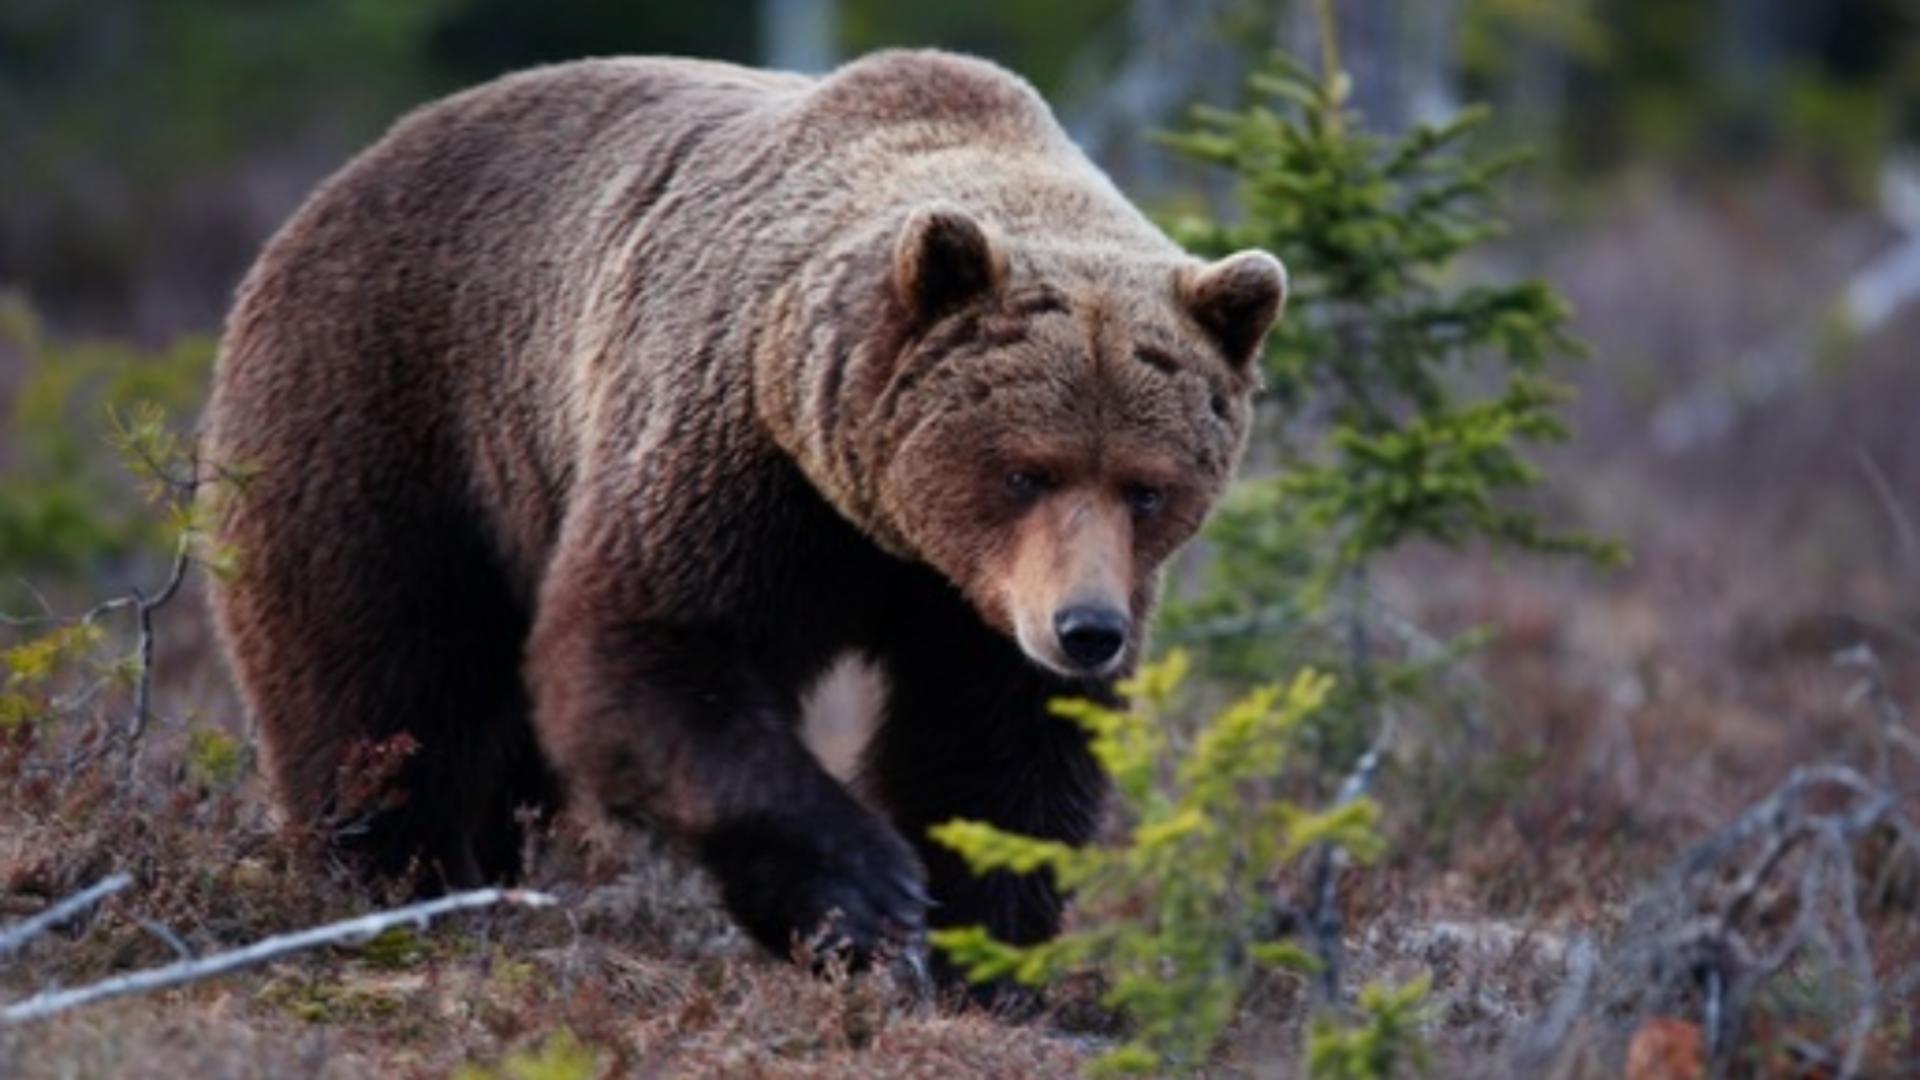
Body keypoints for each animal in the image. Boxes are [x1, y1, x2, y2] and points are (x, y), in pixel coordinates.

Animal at [206, 52, 1290, 968]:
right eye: (1026, 471)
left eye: (1147, 486)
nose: (1086, 629)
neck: (883, 527)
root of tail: (343, 176)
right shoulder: (739, 458)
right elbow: (648, 652)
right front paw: (868, 899)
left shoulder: (975, 600)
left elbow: (997, 746)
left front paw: (982, 950)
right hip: (388, 411)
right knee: (380, 671)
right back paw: (396, 877)